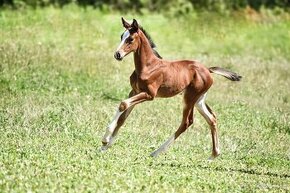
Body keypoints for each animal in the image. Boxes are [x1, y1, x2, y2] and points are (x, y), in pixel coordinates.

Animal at [101, 17, 241, 160]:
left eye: (130, 39)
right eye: (121, 36)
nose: (117, 54)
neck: (148, 66)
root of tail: (208, 70)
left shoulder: (149, 95)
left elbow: (123, 104)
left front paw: (105, 139)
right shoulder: (134, 91)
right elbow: (123, 117)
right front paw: (106, 145)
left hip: (189, 98)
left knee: (186, 122)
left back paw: (156, 152)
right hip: (198, 100)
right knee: (211, 119)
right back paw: (213, 155)